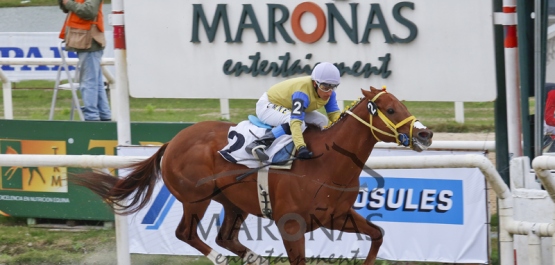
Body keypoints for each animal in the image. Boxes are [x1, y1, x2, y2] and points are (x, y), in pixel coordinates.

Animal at [70, 87, 434, 264]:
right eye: (391, 109)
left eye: (402, 104)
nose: (426, 134)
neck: (328, 162)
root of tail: (172, 141)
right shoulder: (291, 226)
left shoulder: (337, 215)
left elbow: (377, 235)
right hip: (195, 198)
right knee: (187, 234)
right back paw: (221, 258)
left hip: (234, 202)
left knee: (225, 237)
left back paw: (254, 258)